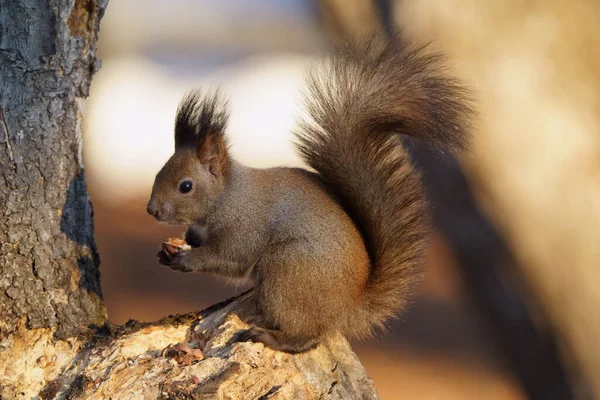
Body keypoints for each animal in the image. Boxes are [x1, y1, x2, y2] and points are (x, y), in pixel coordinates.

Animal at [146, 35, 474, 354]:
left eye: (186, 186)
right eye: (159, 172)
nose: (152, 211)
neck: (227, 196)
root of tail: (346, 309)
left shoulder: (244, 227)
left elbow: (228, 259)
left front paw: (186, 259)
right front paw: (176, 246)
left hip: (287, 272)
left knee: (307, 337)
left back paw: (269, 337)